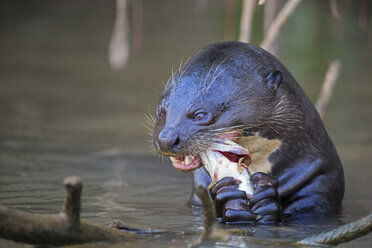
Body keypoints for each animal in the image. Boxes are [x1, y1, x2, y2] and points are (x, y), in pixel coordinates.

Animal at [153, 41, 344, 224]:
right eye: (160, 111)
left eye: (199, 114)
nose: (166, 139)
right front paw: (229, 197)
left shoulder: (321, 180)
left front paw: (265, 197)